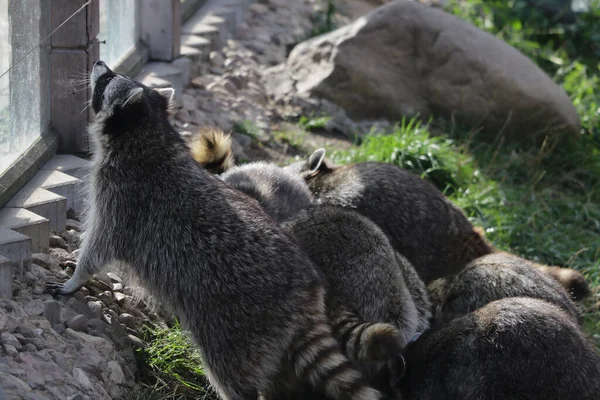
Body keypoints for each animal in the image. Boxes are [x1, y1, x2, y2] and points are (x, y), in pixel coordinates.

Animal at [48, 61, 384, 400]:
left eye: (106, 81)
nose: (99, 64)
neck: (150, 132)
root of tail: (308, 291)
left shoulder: (122, 198)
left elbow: (99, 245)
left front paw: (76, 276)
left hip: (236, 324)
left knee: (228, 370)